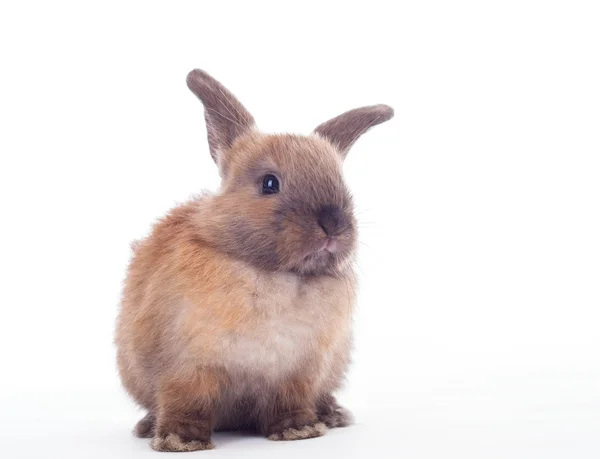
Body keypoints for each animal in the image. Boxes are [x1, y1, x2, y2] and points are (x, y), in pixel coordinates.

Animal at [115, 69, 394, 452]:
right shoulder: (186, 370)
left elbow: (289, 402)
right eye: (269, 183)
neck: (277, 276)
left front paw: (298, 430)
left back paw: (333, 414)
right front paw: (180, 440)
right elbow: (185, 403)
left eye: (341, 184)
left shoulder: (297, 372)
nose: (333, 225)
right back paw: (147, 427)